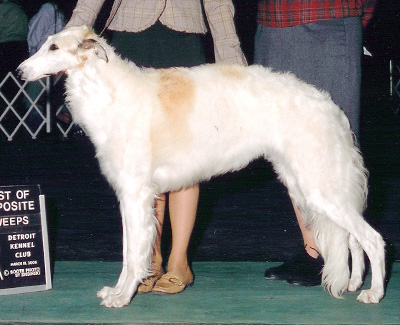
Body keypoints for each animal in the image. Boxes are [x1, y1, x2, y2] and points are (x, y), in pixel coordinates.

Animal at [18, 26, 384, 306]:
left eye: (54, 47)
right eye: (45, 43)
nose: (20, 72)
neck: (110, 93)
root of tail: (331, 107)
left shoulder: (135, 194)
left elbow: (133, 254)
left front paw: (121, 298)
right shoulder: (128, 196)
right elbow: (127, 251)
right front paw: (117, 291)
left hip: (319, 187)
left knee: (374, 239)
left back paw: (374, 293)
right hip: (307, 184)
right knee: (353, 238)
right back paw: (354, 283)